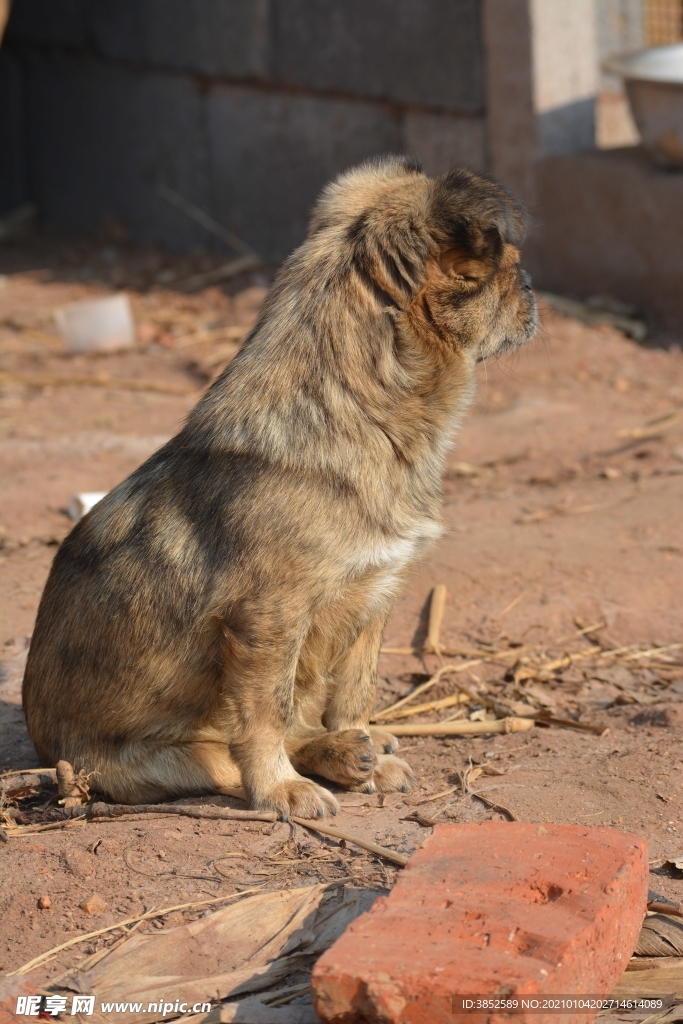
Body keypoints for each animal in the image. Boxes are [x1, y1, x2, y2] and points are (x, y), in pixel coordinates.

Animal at [22, 155, 540, 819]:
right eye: (504, 270)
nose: (532, 287)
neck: (360, 414)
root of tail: (51, 755)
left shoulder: (372, 601)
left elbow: (354, 695)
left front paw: (364, 748)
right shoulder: (269, 622)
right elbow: (264, 714)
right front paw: (280, 788)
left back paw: (350, 750)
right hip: (156, 761)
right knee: (228, 752)